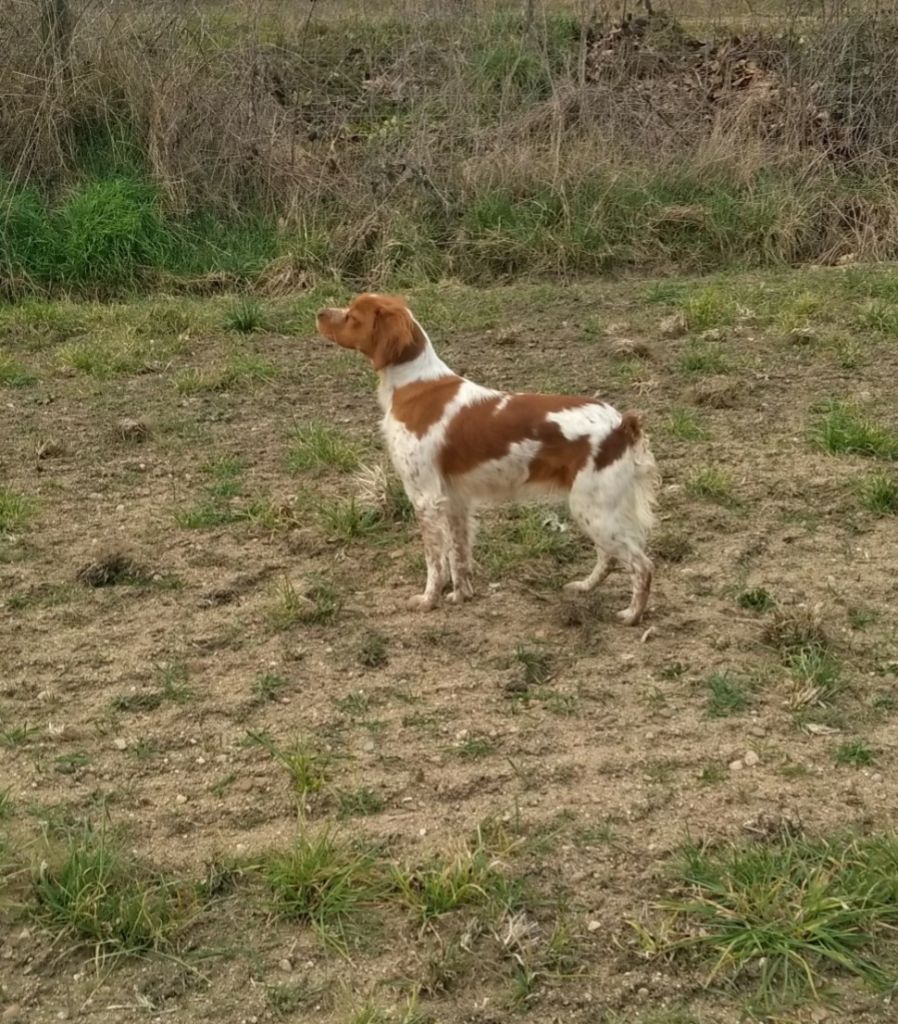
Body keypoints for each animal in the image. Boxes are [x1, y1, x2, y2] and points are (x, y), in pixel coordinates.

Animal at [317, 292, 659, 618]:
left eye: (352, 316)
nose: (319, 313)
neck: (414, 384)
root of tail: (622, 424)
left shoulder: (425, 498)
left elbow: (435, 561)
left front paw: (429, 600)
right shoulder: (454, 498)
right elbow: (458, 554)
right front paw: (460, 595)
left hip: (592, 508)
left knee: (642, 565)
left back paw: (632, 615)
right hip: (595, 509)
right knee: (609, 557)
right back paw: (585, 587)